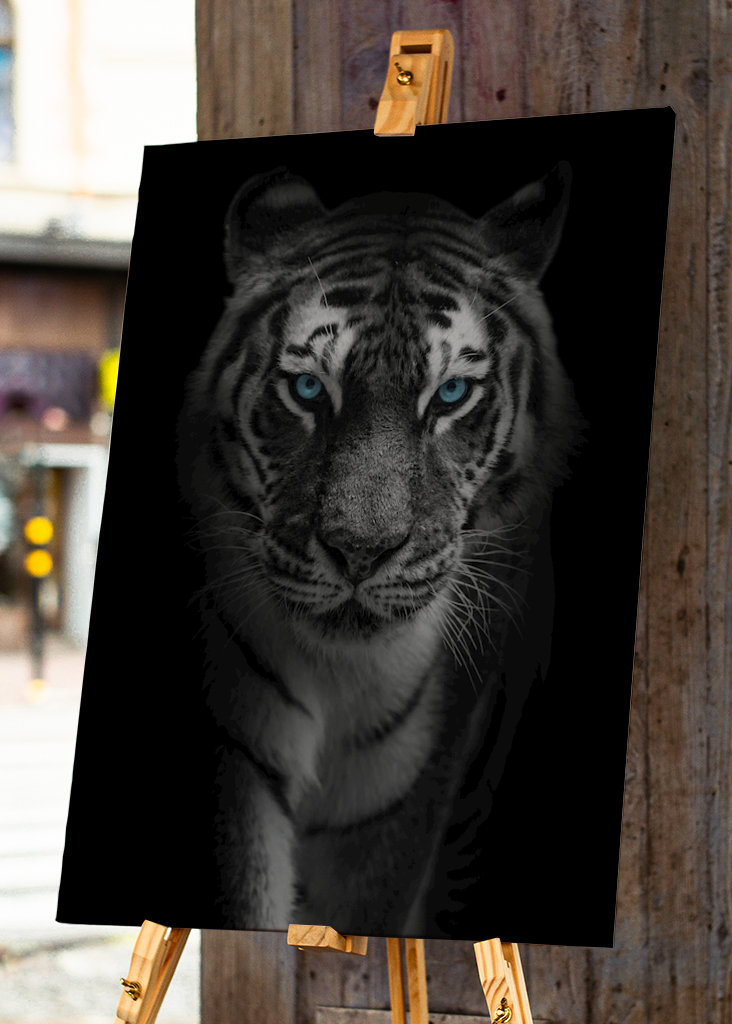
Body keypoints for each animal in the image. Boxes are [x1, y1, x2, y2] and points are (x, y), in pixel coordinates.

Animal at [176, 161, 577, 938]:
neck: (338, 673)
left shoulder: (399, 800)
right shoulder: (231, 753)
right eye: (308, 388)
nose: (360, 552)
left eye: (451, 395)